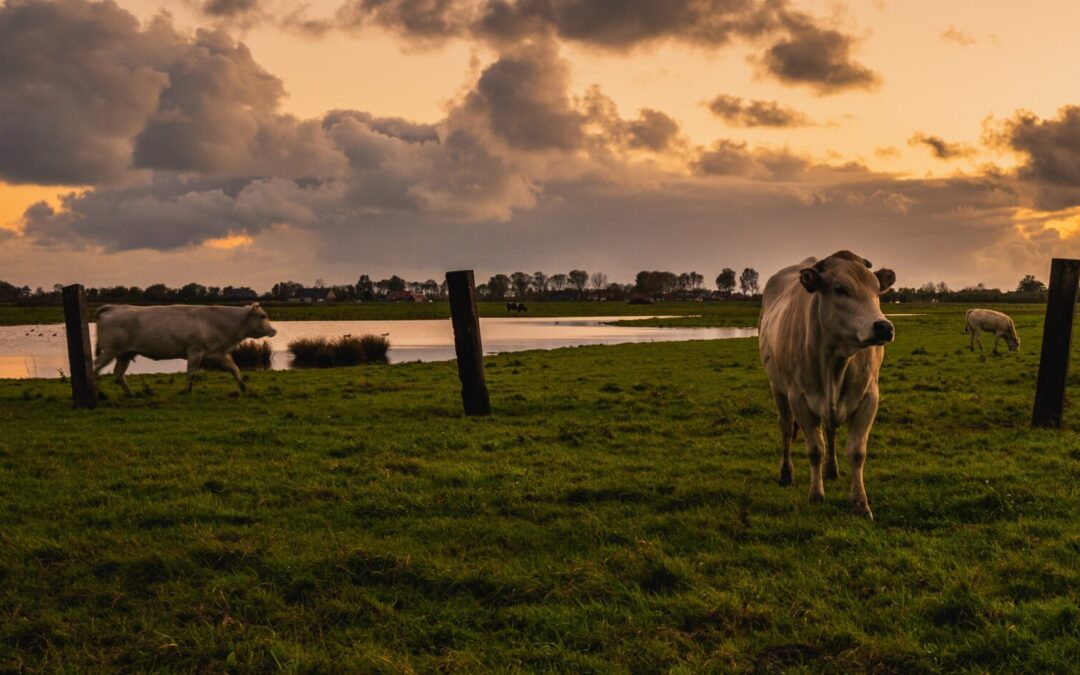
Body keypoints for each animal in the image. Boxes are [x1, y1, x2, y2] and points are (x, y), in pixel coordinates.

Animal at [93, 302, 278, 393]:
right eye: (263, 316)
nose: (274, 330)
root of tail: (113, 307)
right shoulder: (195, 352)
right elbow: (191, 373)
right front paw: (187, 390)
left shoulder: (217, 353)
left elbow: (235, 369)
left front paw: (244, 387)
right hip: (109, 352)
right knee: (95, 369)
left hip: (124, 353)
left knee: (118, 374)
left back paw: (130, 393)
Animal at [756, 250, 898, 518]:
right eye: (840, 289)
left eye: (877, 290)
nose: (884, 327)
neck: (835, 361)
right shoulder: (799, 399)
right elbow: (815, 450)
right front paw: (815, 495)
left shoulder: (869, 399)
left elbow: (857, 452)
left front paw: (860, 503)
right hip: (777, 388)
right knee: (786, 428)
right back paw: (786, 474)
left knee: (831, 430)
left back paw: (832, 470)